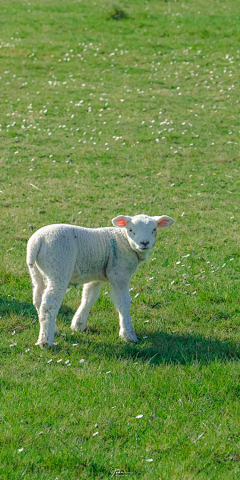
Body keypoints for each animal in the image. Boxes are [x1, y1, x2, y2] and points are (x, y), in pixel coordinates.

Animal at [26, 213, 174, 344]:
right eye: (131, 230)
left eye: (154, 230)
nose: (144, 243)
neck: (123, 240)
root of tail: (37, 241)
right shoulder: (119, 274)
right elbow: (123, 303)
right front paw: (128, 335)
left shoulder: (96, 277)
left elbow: (89, 298)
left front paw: (78, 325)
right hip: (58, 269)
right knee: (49, 304)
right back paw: (46, 341)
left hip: (37, 273)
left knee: (38, 300)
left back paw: (54, 331)